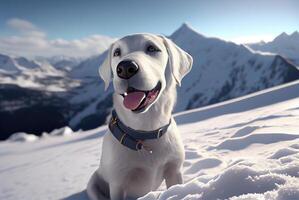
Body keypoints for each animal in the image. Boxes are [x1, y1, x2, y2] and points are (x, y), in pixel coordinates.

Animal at [88, 33, 193, 199]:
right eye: (117, 52)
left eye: (152, 48)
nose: (125, 68)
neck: (145, 130)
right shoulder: (117, 185)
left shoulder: (174, 171)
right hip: (92, 184)